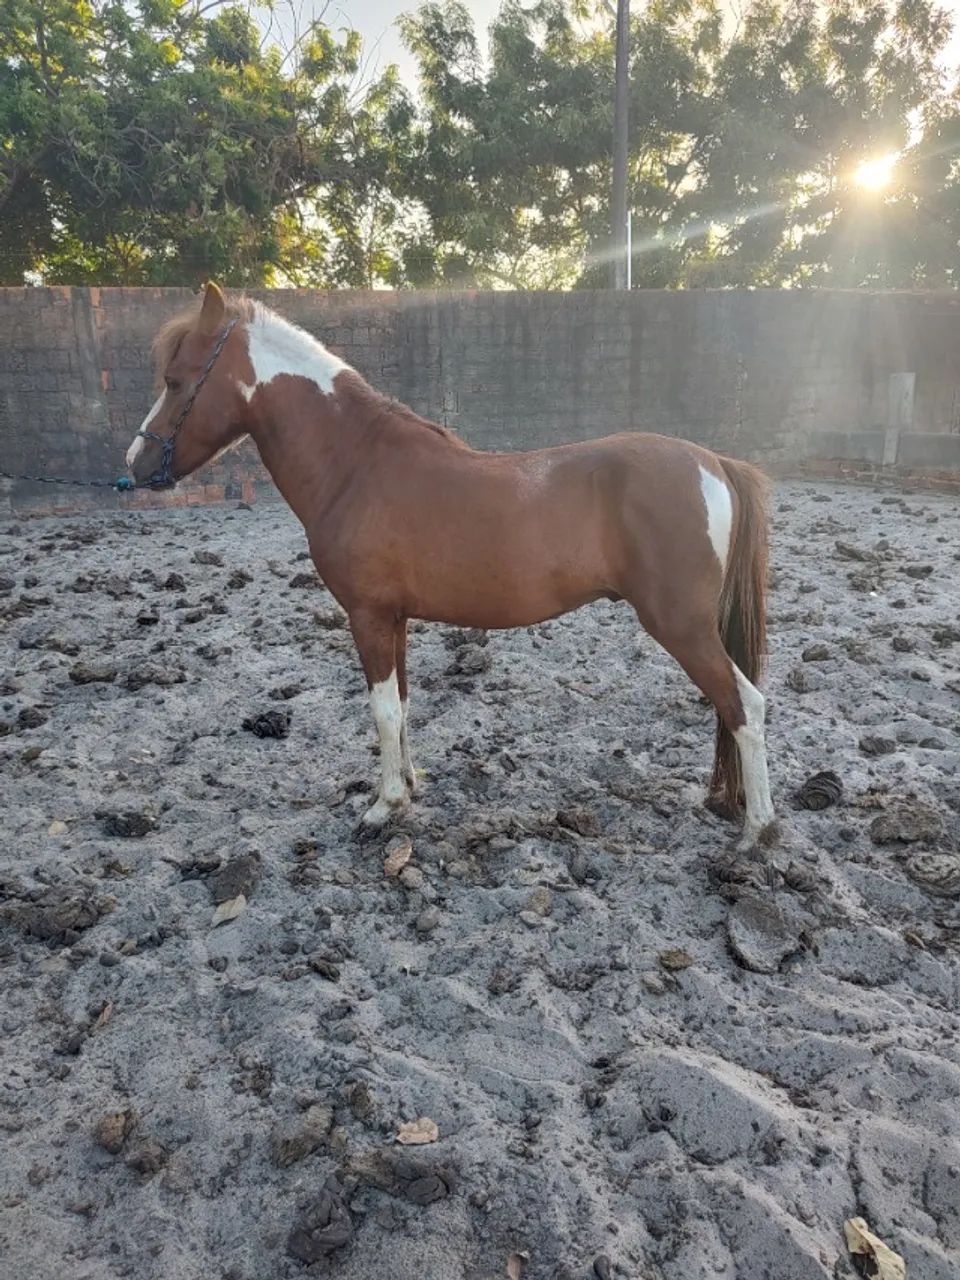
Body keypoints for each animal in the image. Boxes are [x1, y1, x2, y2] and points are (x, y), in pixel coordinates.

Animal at [126, 283, 776, 849]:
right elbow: (402, 704)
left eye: (175, 380)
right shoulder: (394, 618)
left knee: (745, 705)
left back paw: (757, 832)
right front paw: (409, 786)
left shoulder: (367, 615)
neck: (355, 465)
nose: (135, 464)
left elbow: (383, 708)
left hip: (682, 627)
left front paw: (383, 807)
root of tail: (713, 462)